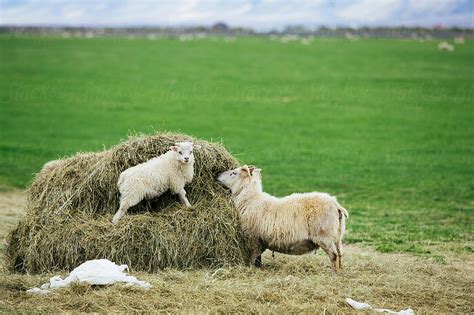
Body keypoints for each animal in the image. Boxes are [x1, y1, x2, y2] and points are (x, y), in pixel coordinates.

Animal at [218, 167, 348, 276]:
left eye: (233, 173)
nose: (218, 175)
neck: (250, 199)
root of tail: (337, 206)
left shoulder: (252, 238)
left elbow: (253, 257)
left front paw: (251, 269)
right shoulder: (260, 240)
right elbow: (257, 257)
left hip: (324, 236)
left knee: (334, 255)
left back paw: (334, 275)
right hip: (337, 236)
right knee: (340, 254)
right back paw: (340, 272)